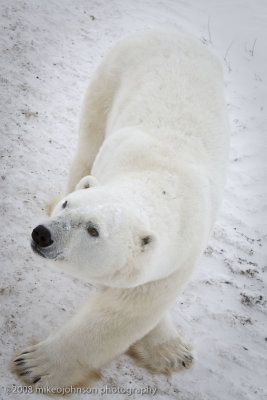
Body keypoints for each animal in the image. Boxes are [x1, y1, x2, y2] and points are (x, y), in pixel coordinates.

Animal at [12, 31, 230, 390]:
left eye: (93, 230)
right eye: (69, 205)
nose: (43, 234)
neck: (160, 180)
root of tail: (169, 32)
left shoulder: (178, 256)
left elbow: (124, 313)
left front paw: (35, 364)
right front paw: (32, 363)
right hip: (110, 77)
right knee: (87, 144)